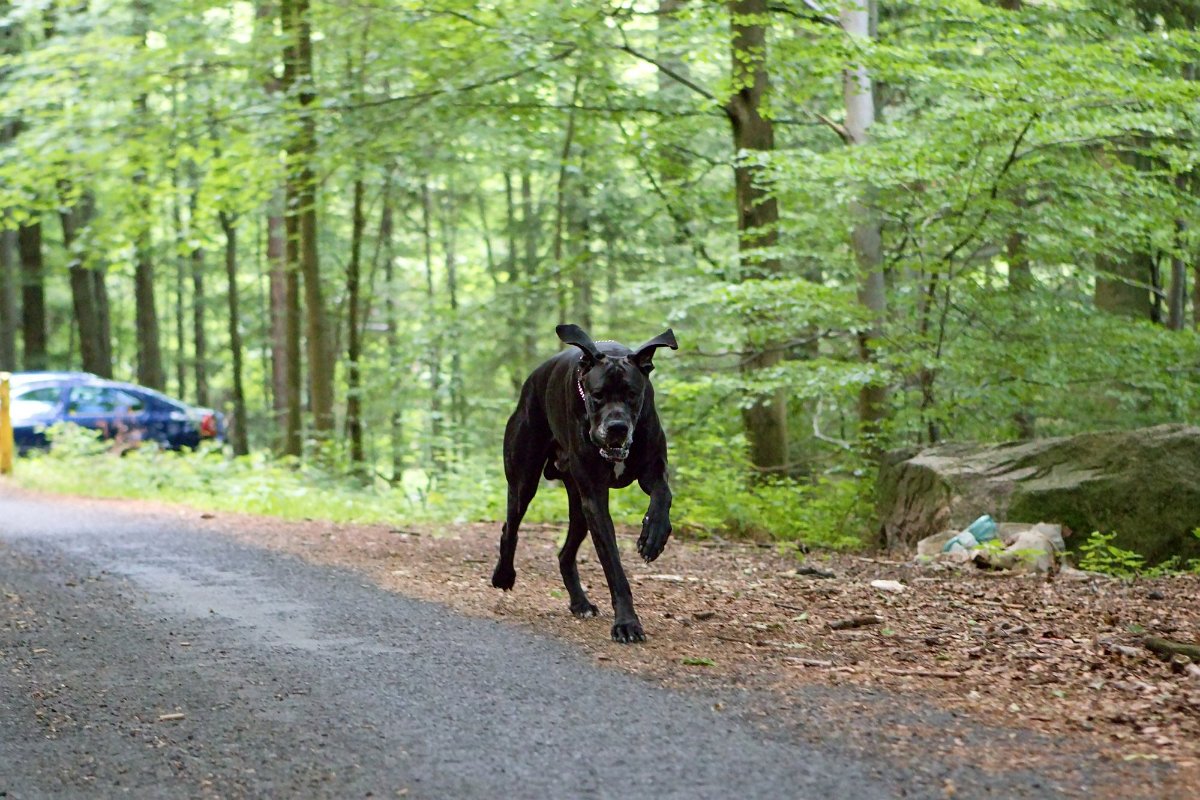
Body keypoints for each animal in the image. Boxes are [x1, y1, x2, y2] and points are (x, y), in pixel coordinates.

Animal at [487, 321, 676, 642]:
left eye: (633, 394)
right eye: (597, 394)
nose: (617, 427)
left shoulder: (652, 471)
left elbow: (663, 495)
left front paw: (654, 535)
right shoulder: (595, 499)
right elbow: (614, 566)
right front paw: (627, 623)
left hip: (578, 506)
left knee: (565, 554)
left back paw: (580, 602)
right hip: (524, 480)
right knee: (509, 527)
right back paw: (504, 575)